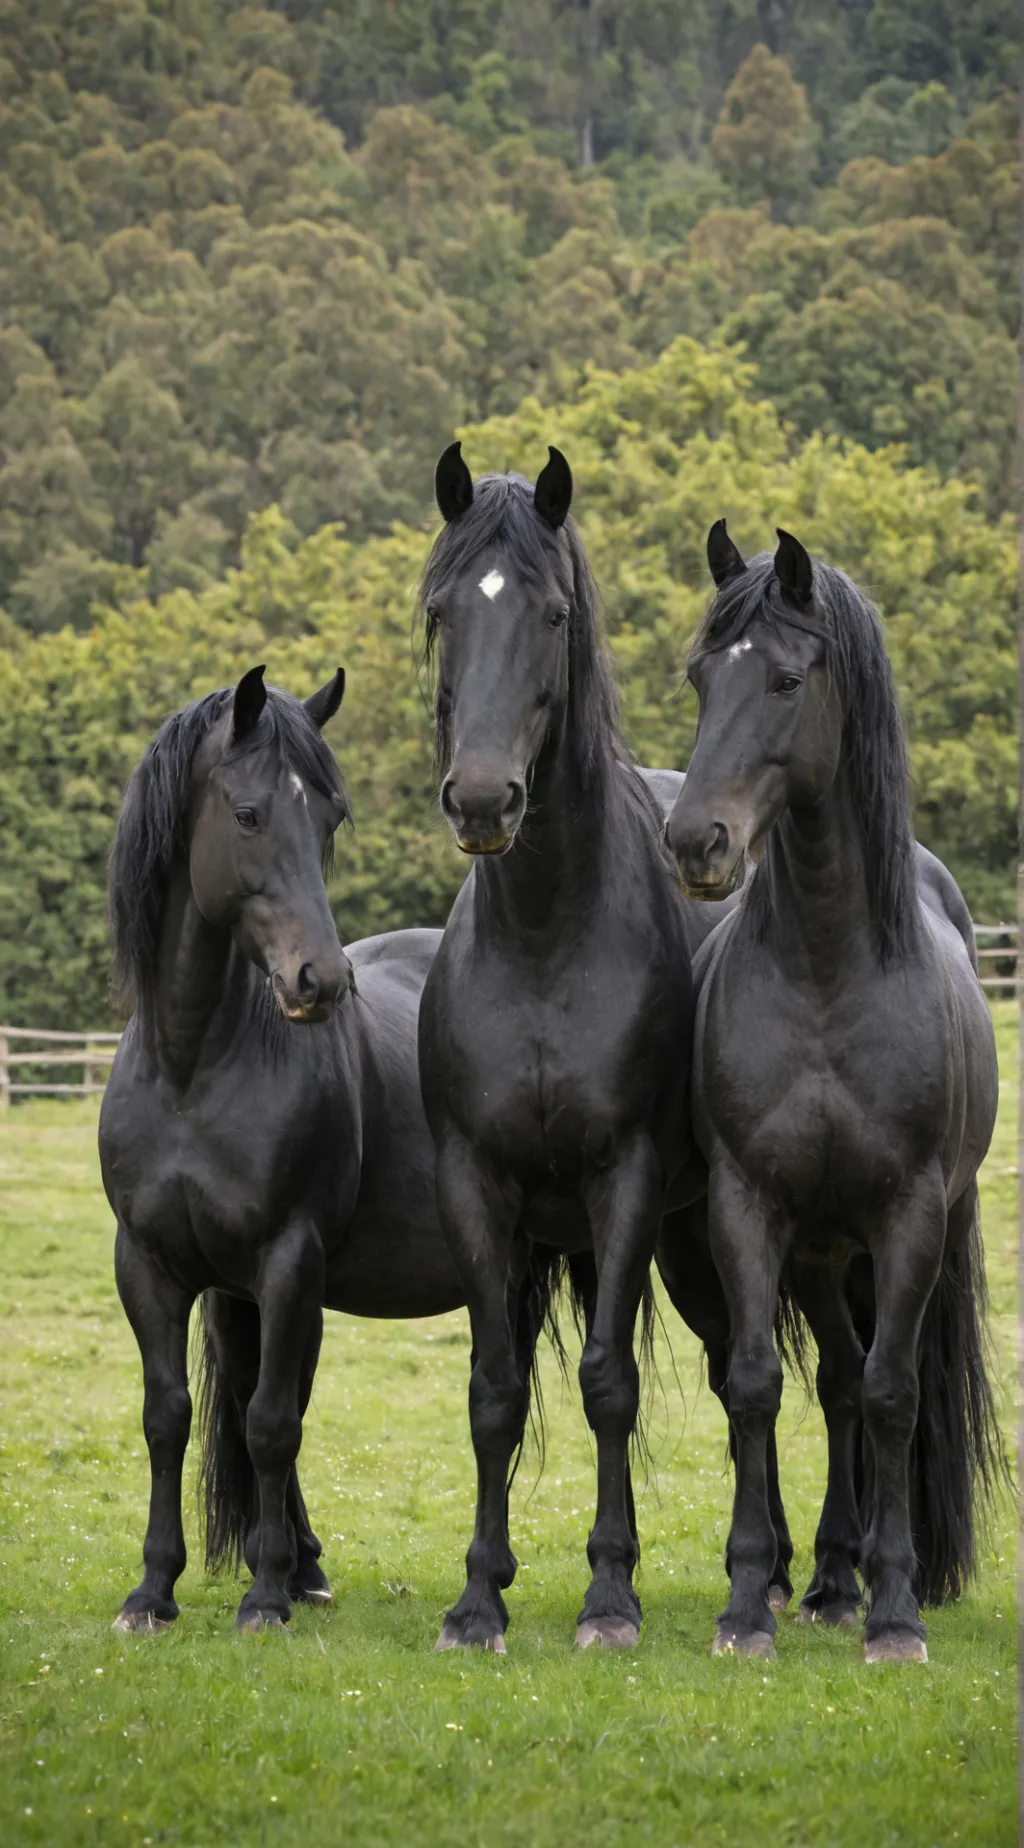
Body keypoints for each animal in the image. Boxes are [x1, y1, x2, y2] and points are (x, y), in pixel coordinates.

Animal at [99, 665, 462, 1633]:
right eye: (250, 814)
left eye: (331, 818)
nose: (320, 981)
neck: (191, 1069)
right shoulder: (153, 1265)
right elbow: (169, 1414)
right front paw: (153, 1590)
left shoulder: (288, 1261)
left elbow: (268, 1423)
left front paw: (263, 1595)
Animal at [664, 523, 1002, 1664]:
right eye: (699, 675)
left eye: (783, 678)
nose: (696, 842)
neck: (825, 970)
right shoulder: (749, 1209)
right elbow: (759, 1386)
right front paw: (742, 1604)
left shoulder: (907, 1216)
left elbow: (898, 1397)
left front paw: (896, 1614)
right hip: (813, 1251)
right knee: (837, 1380)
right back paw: (820, 1579)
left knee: (873, 1386)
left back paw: (856, 1584)